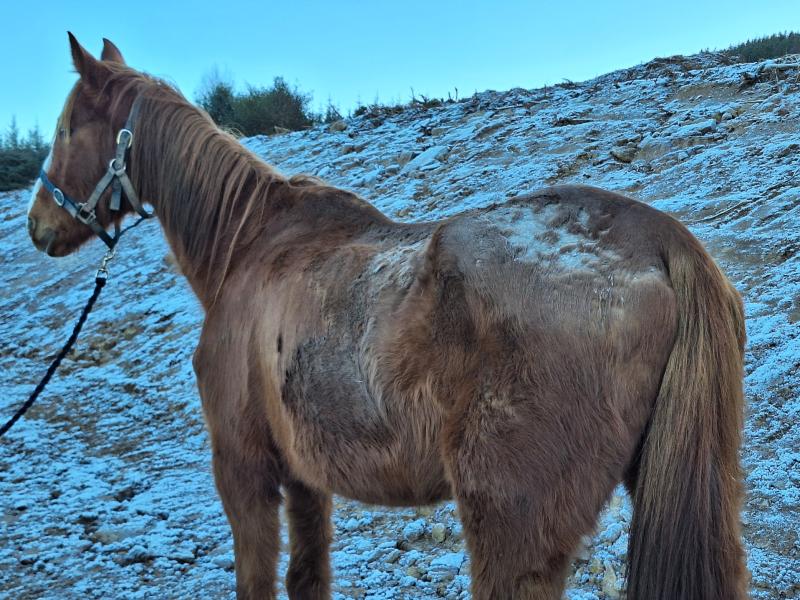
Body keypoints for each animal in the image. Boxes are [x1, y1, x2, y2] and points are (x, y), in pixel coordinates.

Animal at [26, 34, 748, 599]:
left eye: (65, 130)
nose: (38, 224)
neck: (250, 244)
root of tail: (661, 240)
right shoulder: (305, 480)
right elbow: (308, 578)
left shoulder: (243, 468)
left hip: (511, 526)